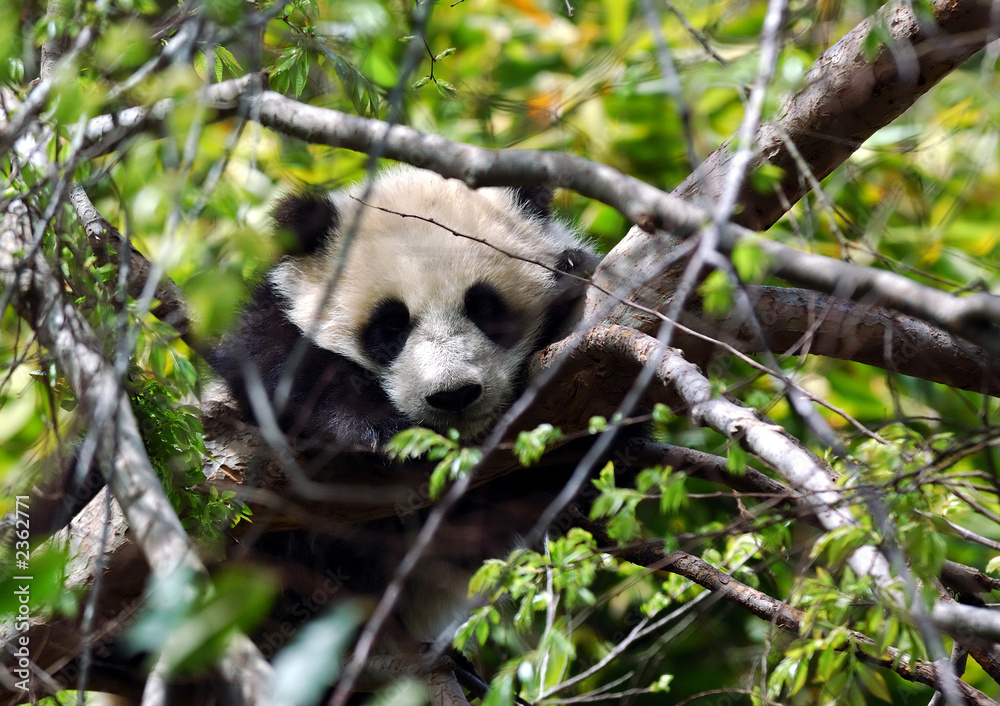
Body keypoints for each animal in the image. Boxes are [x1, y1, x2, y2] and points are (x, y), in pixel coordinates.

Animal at [208, 165, 599, 450]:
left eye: (485, 309)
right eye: (392, 323)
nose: (454, 395)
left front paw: (570, 275)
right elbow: (277, 361)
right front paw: (378, 425)